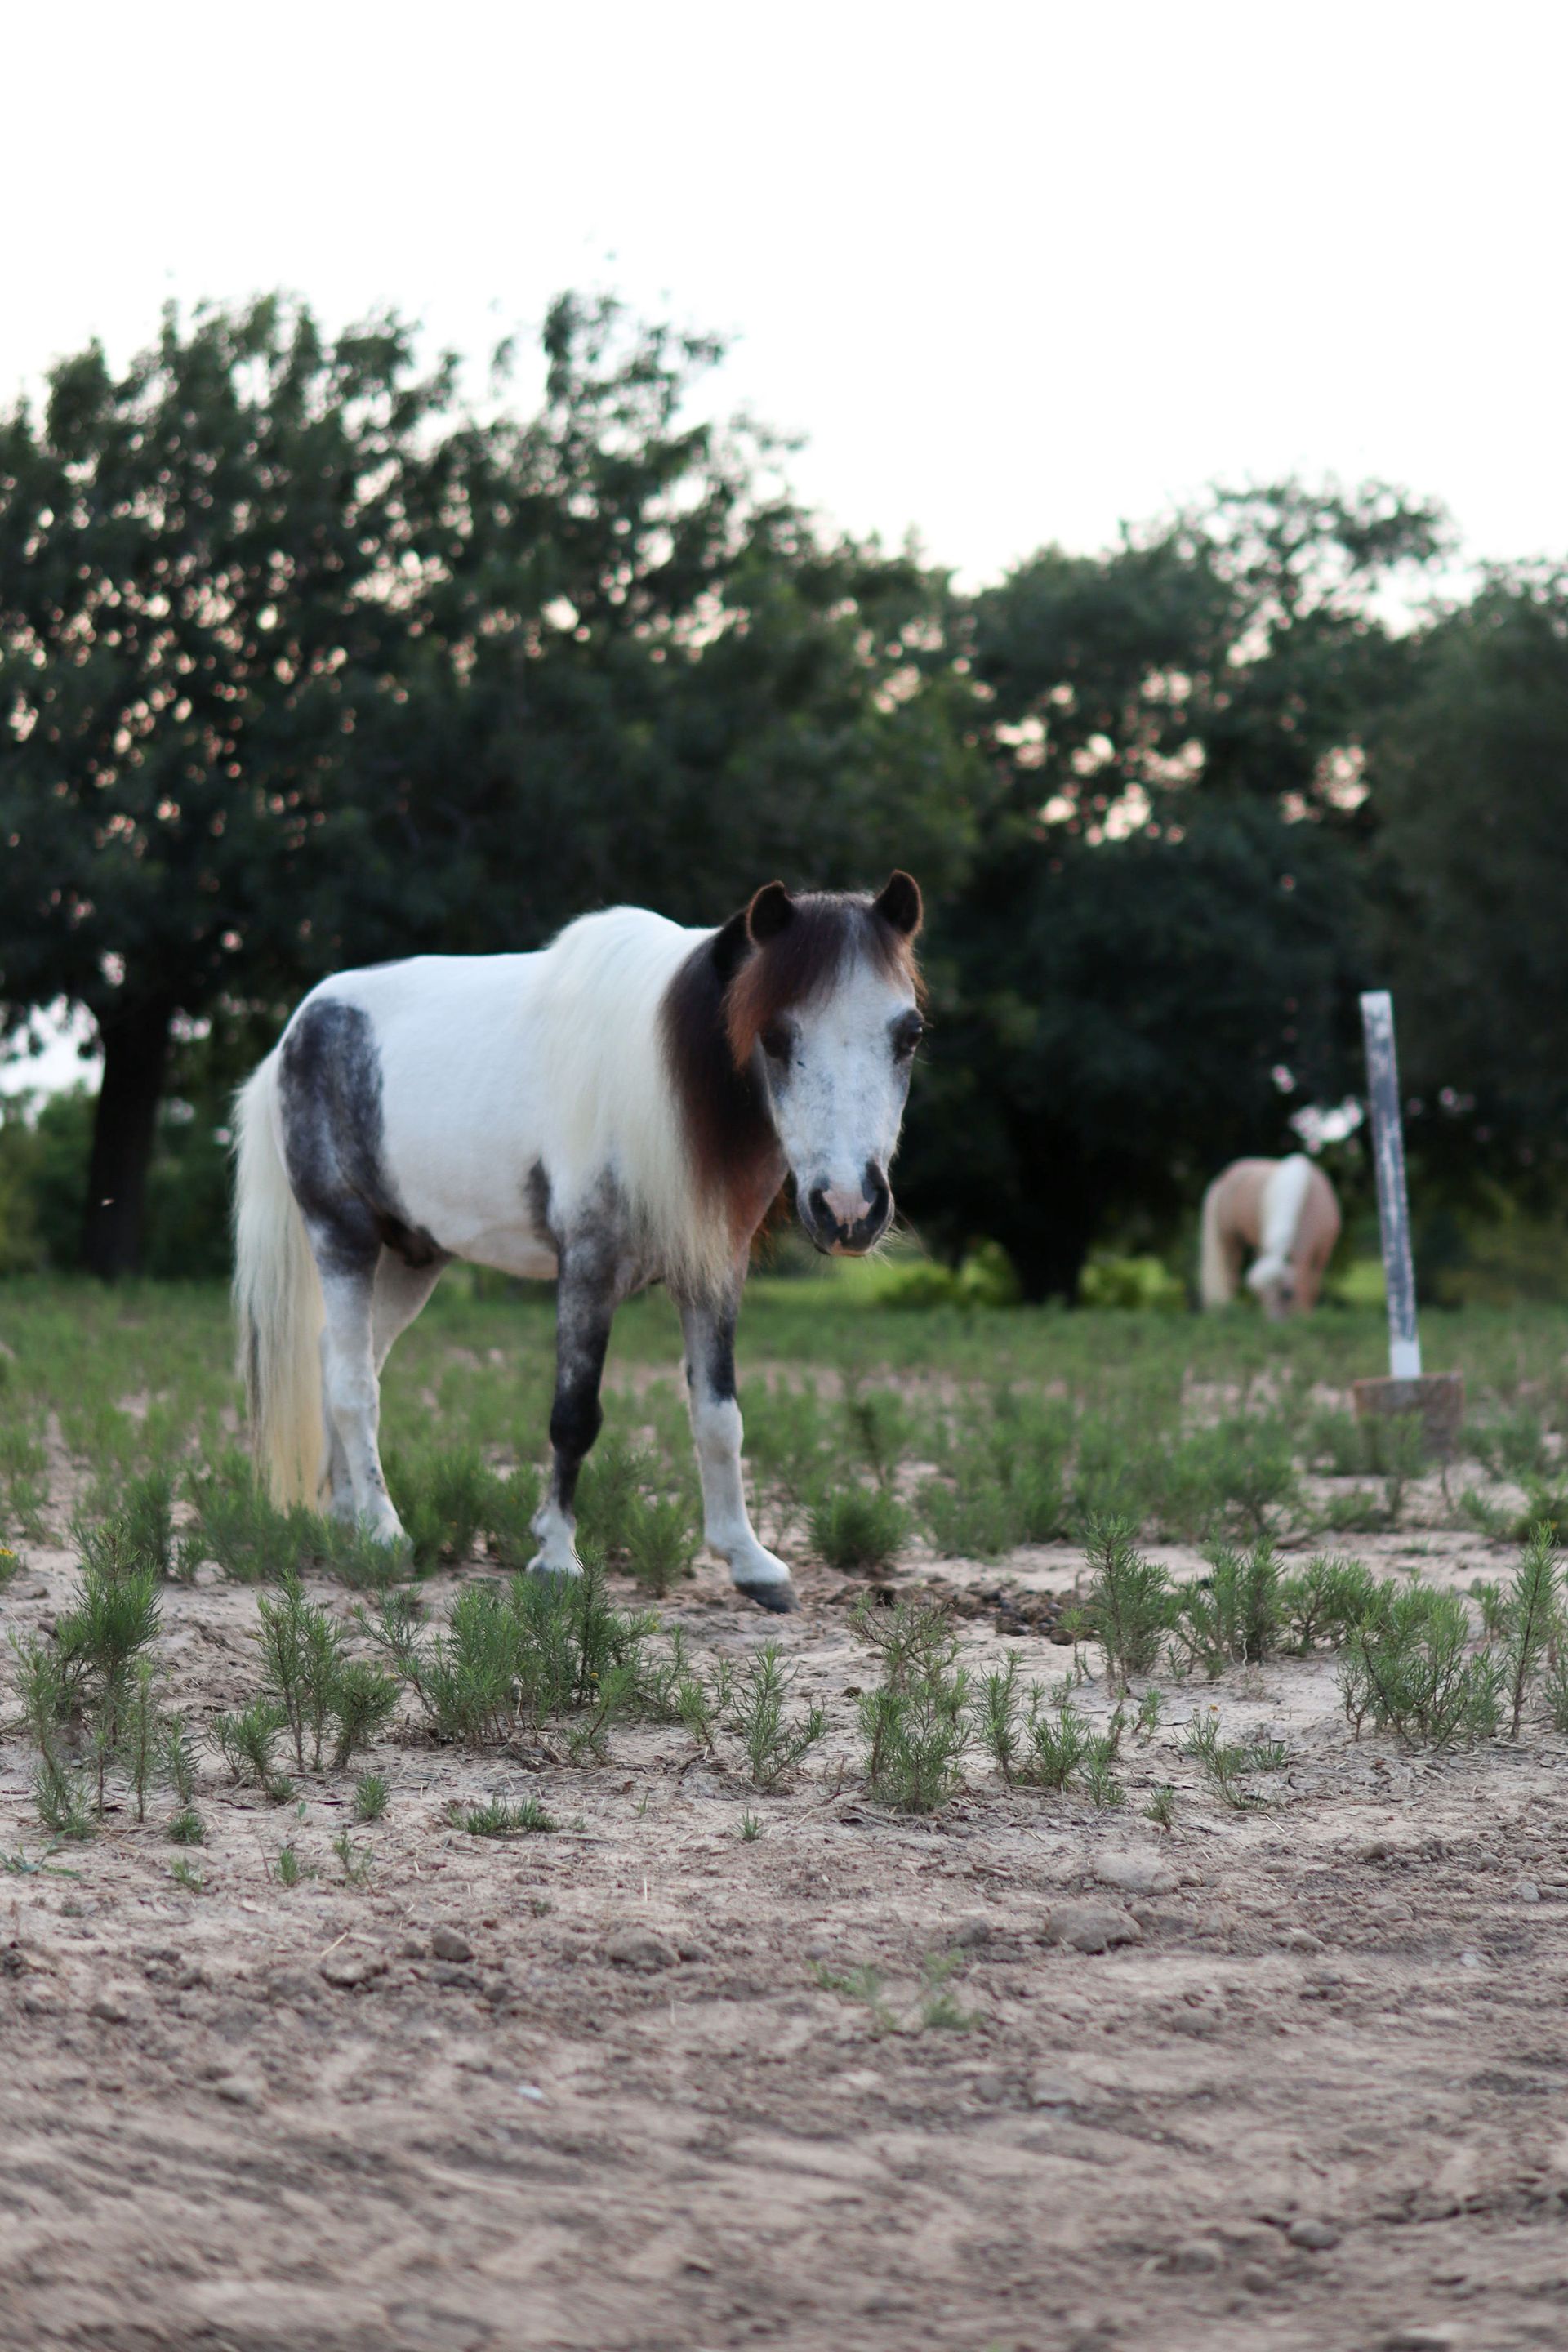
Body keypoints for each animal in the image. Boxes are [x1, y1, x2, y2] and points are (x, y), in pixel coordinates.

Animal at [232, 873, 925, 1614]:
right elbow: (574, 1416)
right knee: (354, 1383)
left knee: (341, 1358)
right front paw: (557, 1559)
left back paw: (347, 1517)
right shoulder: (589, 1267)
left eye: (909, 1035)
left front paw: (749, 1561)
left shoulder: (714, 1274)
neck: (661, 1078)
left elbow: (718, 1417)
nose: (849, 1208)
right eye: (772, 1032)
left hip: (413, 1258)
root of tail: (298, 1029)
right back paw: (386, 1533)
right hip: (344, 1236)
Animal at [1198, 1153, 1341, 1319]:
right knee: (1231, 1277)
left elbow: (1310, 1285)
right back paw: (1229, 1309)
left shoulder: (1320, 1252)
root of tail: (1225, 1177)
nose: (1273, 1322)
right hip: (1231, 1240)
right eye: (1264, 1292)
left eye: (1287, 1293)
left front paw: (1305, 1316)